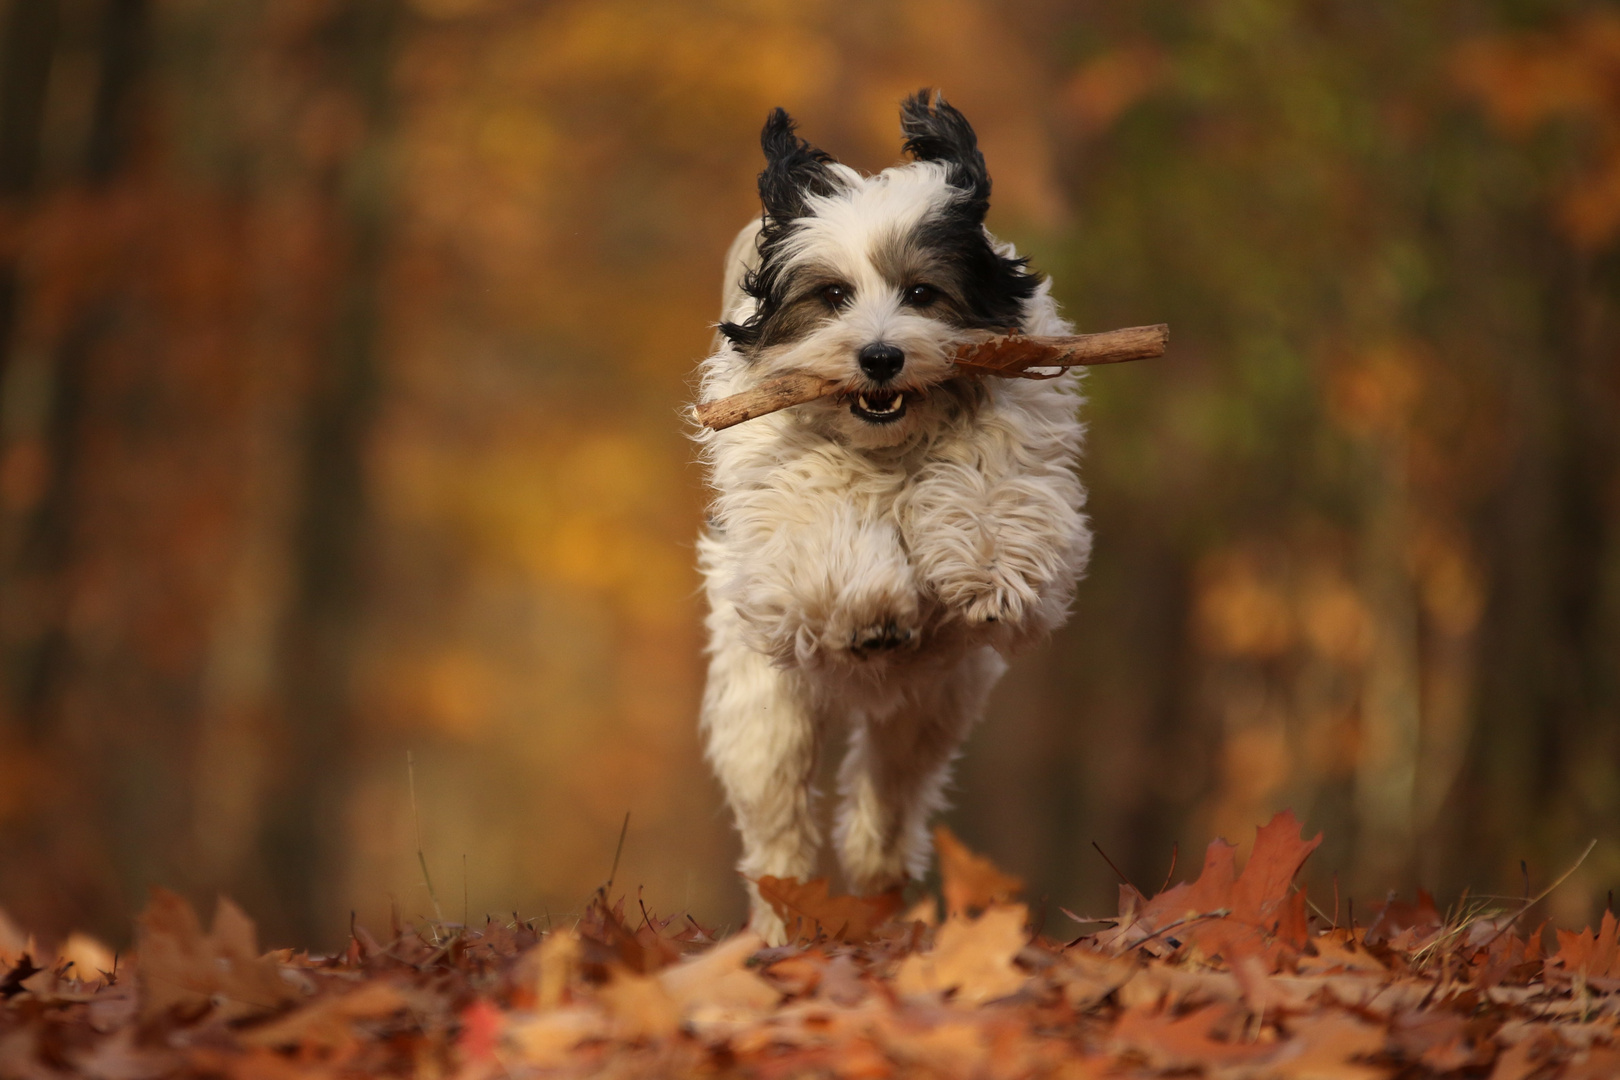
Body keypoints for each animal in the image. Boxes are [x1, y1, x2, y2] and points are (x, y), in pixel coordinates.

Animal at [686, 93, 1088, 945]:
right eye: (833, 296)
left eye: (923, 294)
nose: (879, 358)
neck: (891, 445)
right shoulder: (786, 494)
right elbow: (824, 518)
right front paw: (871, 608)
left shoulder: (1015, 443)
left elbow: (988, 489)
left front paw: (988, 570)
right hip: (766, 711)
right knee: (779, 821)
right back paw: (782, 920)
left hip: (928, 708)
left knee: (889, 794)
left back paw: (876, 878)